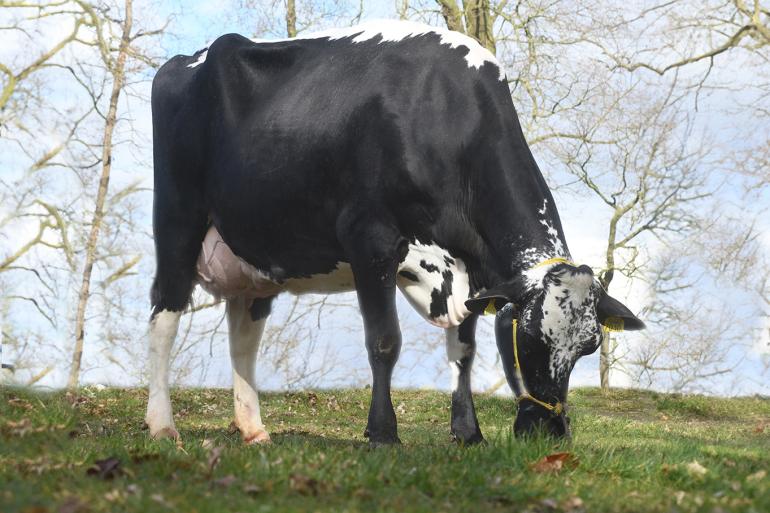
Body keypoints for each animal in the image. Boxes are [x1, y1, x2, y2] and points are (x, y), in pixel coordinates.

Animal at [146, 19, 640, 444]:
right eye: (530, 336)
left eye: (590, 346)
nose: (549, 433)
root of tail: (190, 58)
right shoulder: (371, 239)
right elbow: (384, 341)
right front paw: (383, 433)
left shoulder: (475, 270)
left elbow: (463, 351)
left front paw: (468, 433)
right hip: (177, 221)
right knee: (164, 316)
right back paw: (162, 425)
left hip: (254, 253)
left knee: (244, 336)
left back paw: (253, 429)